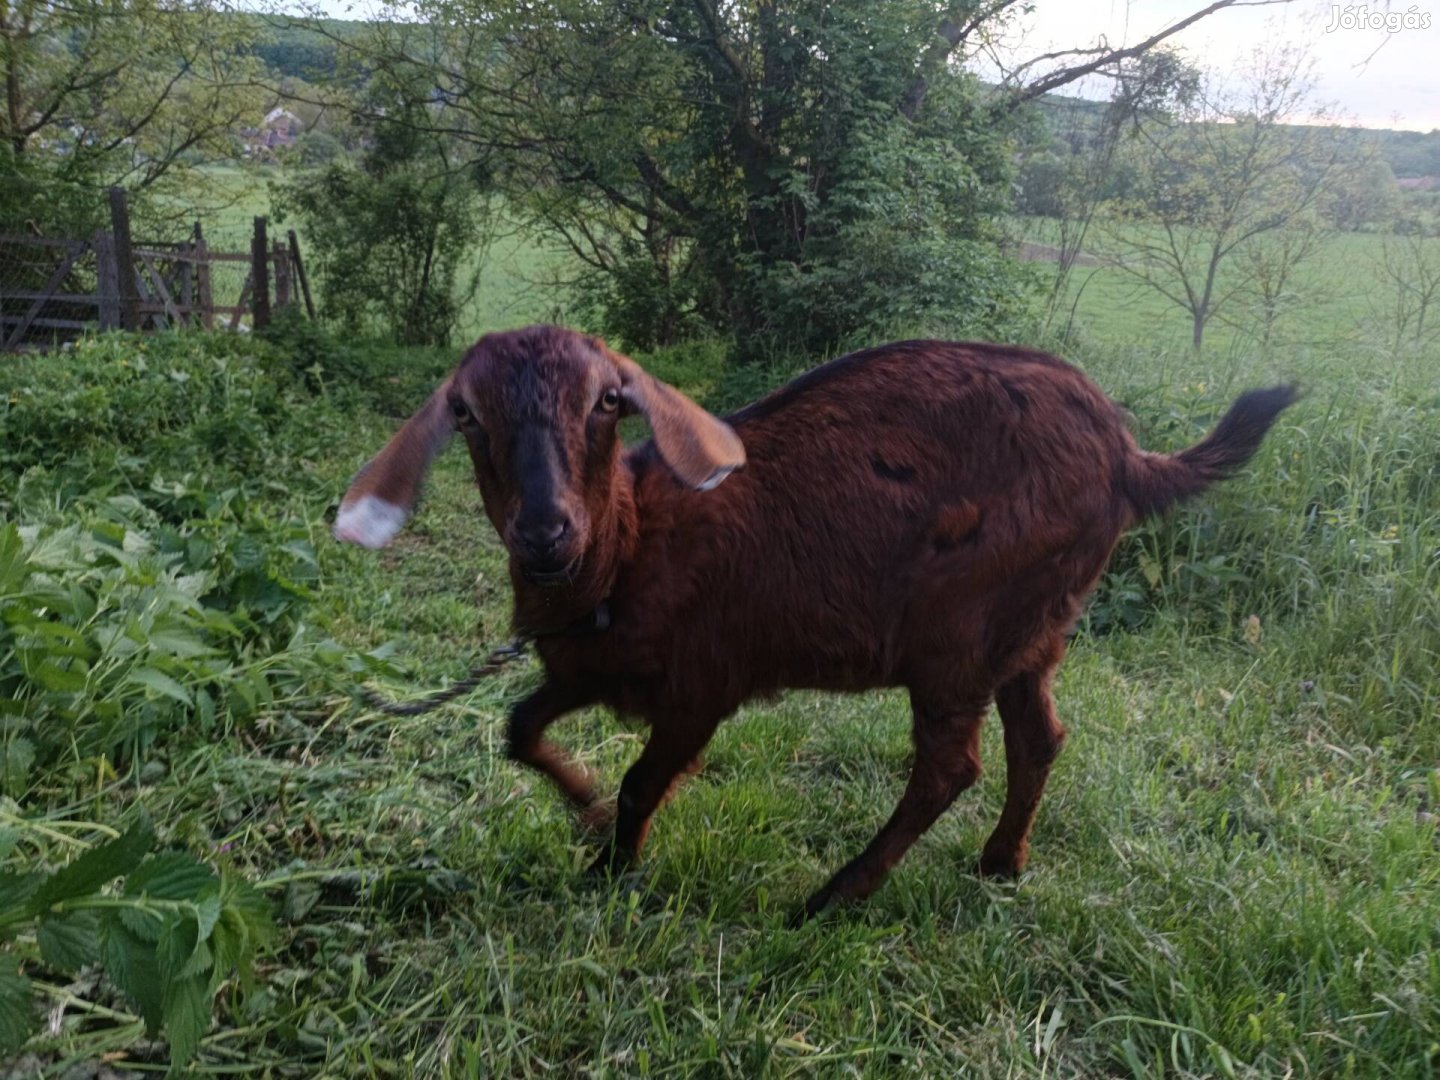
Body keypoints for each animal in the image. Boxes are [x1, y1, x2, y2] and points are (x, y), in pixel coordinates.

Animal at [334, 328, 1296, 921]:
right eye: (467, 412)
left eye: (607, 402)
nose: (545, 530)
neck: (629, 553)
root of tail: (1130, 454)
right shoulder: (582, 667)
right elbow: (517, 728)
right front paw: (586, 810)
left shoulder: (704, 681)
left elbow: (645, 781)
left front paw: (612, 867)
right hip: (1035, 624)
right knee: (1039, 739)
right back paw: (999, 864)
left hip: (958, 624)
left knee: (951, 764)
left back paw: (833, 897)